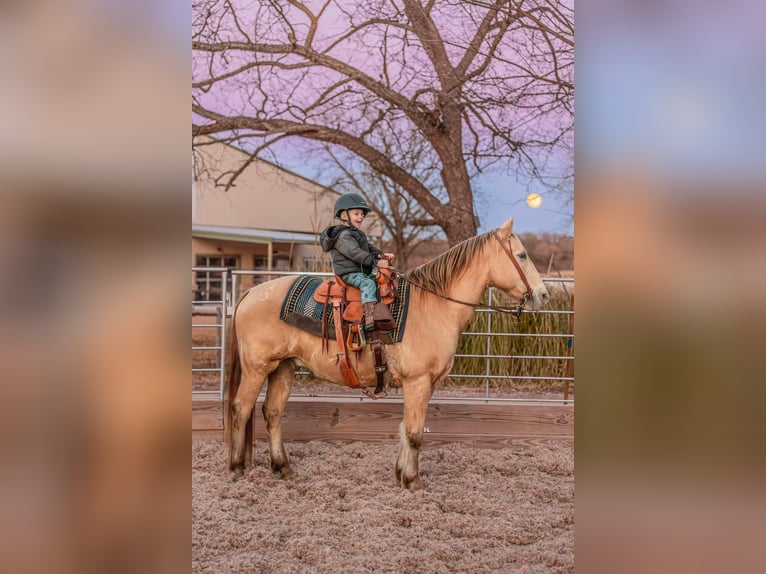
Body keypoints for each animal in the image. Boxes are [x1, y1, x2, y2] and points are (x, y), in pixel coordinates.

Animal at [225, 218, 548, 492]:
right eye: (521, 255)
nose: (543, 295)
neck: (434, 306)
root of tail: (250, 293)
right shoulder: (418, 382)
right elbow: (415, 433)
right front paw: (413, 481)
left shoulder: (423, 385)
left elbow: (405, 428)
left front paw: (400, 475)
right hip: (257, 369)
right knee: (241, 409)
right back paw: (237, 467)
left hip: (283, 368)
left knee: (272, 413)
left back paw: (283, 468)